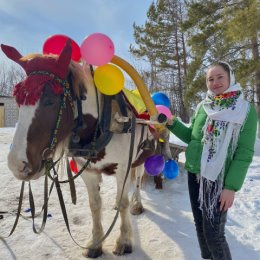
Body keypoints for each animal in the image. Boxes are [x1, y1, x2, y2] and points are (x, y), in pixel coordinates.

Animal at [1, 41, 160, 258]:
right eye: (18, 100)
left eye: (50, 101)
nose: (17, 164)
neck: (102, 125)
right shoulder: (89, 172)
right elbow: (95, 205)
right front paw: (95, 243)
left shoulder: (123, 167)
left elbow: (124, 202)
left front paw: (124, 241)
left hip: (139, 158)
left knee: (136, 182)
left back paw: (137, 204)